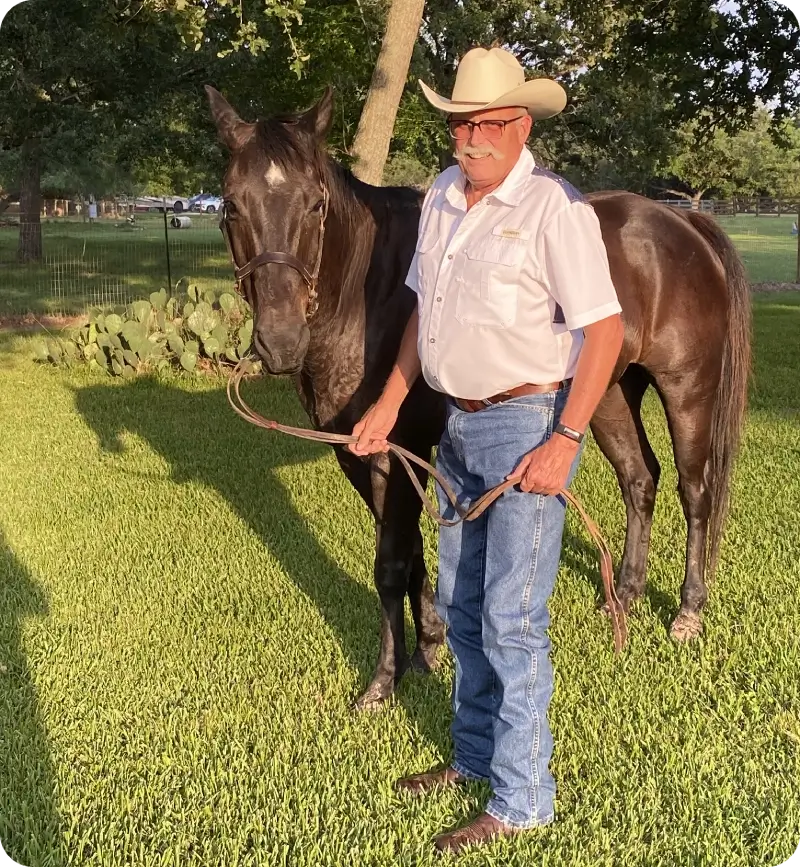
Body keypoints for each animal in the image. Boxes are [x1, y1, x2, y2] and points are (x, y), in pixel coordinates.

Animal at [205, 85, 751, 710]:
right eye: (231, 205)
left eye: (316, 204)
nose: (280, 341)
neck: (369, 296)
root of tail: (680, 220)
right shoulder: (363, 453)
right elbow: (414, 556)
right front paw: (428, 646)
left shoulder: (397, 450)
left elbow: (391, 564)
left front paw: (384, 680)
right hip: (610, 394)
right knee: (639, 479)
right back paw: (626, 595)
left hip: (687, 389)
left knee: (695, 491)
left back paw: (688, 611)